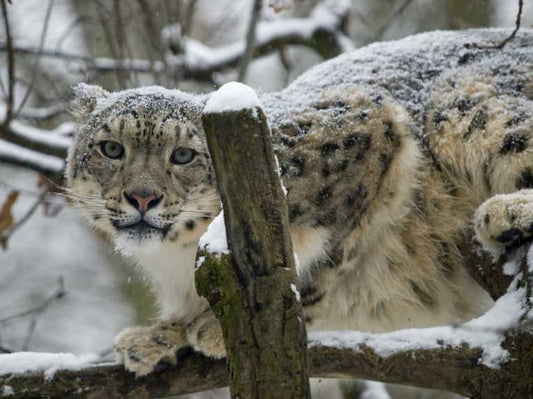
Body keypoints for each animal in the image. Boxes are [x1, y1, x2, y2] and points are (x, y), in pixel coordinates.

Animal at [66, 28, 532, 378]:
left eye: (183, 155)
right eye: (111, 148)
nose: (142, 196)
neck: (177, 261)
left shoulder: (368, 127)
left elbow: (329, 254)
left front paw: (218, 327)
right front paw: (155, 338)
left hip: (464, 103)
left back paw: (504, 213)